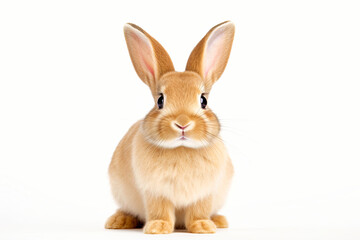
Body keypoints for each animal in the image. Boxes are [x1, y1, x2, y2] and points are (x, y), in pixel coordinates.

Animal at [104, 21, 235, 233]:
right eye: (160, 100)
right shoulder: (155, 192)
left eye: (203, 100)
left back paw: (219, 220)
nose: (182, 123)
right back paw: (119, 221)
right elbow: (160, 210)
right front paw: (157, 227)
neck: (181, 148)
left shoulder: (204, 193)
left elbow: (199, 210)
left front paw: (203, 226)